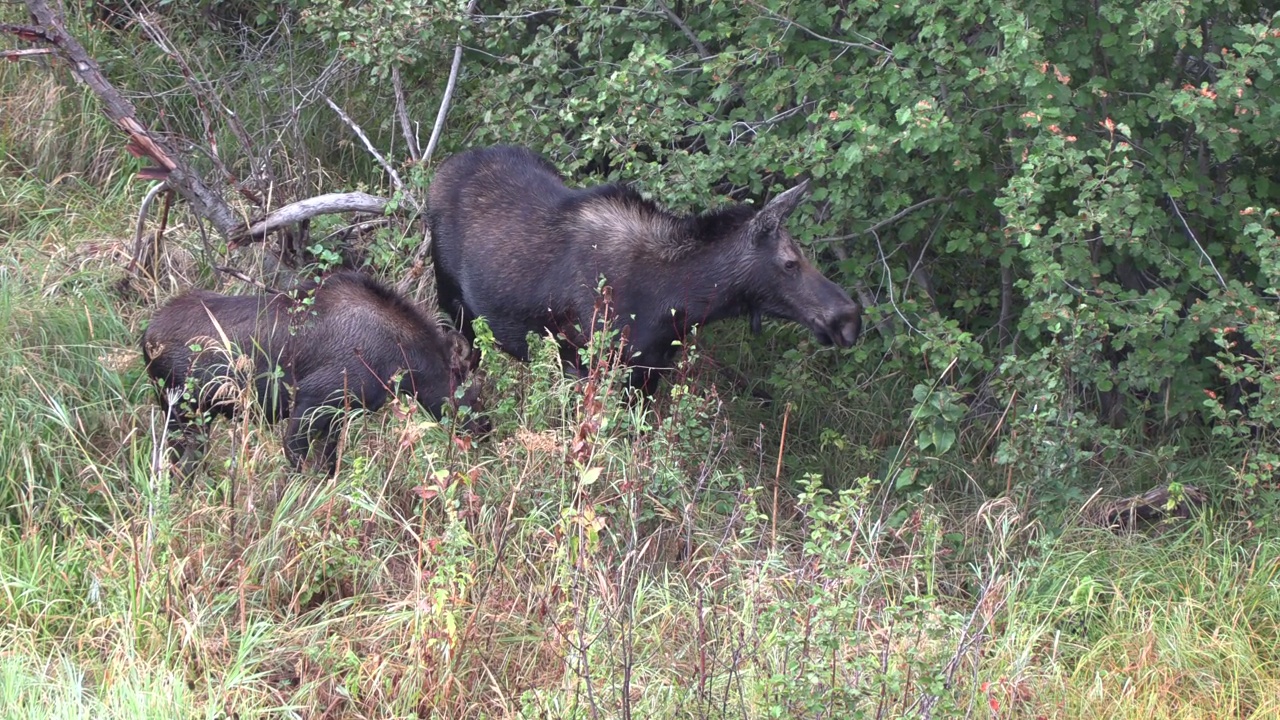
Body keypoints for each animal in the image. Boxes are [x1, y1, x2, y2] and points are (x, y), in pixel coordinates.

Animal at [142, 269, 486, 471]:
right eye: (467, 384)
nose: (486, 427)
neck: (400, 363)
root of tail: (146, 337)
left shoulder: (336, 416)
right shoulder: (311, 400)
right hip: (182, 413)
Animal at [427, 144, 860, 389]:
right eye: (789, 262)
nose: (850, 318)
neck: (680, 300)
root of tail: (438, 172)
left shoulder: (651, 371)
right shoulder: (589, 366)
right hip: (455, 309)